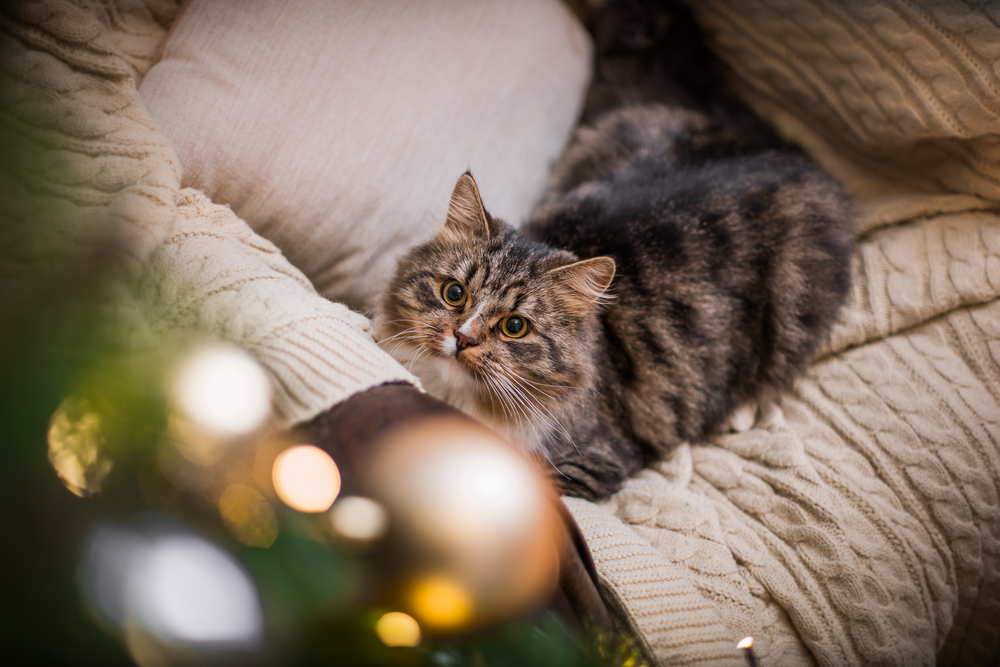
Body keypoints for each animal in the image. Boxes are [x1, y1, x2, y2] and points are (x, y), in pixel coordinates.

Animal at [376, 0, 852, 498]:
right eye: (454, 294)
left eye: (515, 327)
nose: (463, 337)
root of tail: (779, 148)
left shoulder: (593, 461)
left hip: (794, 305)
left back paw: (740, 412)